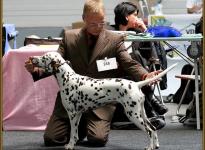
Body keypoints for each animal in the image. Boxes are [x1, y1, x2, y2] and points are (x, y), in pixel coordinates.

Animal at [29, 51, 177, 150]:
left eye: (44, 57)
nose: (32, 58)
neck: (68, 79)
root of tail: (136, 84)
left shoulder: (72, 114)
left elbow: (72, 133)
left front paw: (70, 146)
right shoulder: (78, 114)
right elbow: (75, 134)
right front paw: (73, 143)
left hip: (133, 115)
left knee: (149, 130)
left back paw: (149, 147)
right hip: (142, 114)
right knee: (153, 128)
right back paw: (156, 145)